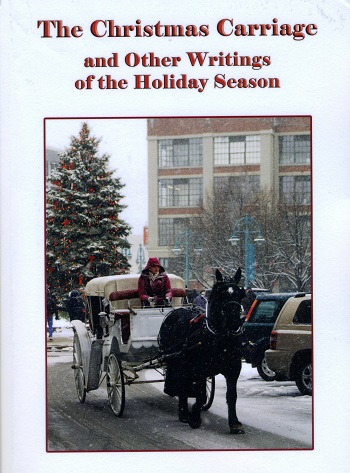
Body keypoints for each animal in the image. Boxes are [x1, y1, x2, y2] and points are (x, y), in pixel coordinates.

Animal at [159, 268, 246, 434]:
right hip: (177, 361)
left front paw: (234, 423)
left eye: (239, 294)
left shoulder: (233, 369)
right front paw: (194, 417)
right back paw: (184, 413)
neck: (220, 337)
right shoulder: (200, 369)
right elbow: (201, 396)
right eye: (220, 294)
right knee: (182, 384)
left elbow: (232, 395)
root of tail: (174, 312)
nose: (233, 321)